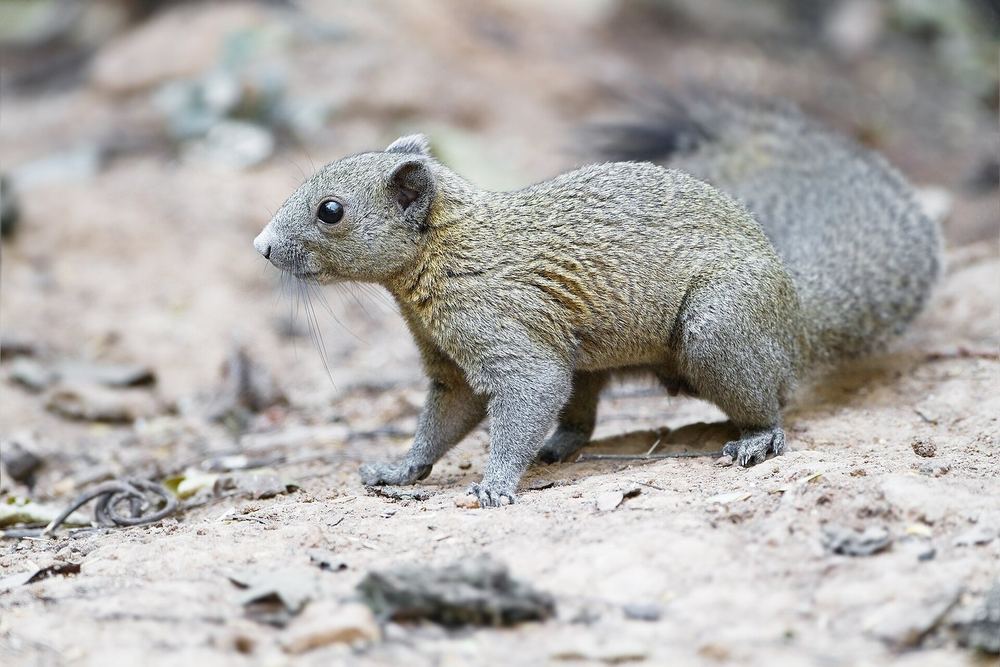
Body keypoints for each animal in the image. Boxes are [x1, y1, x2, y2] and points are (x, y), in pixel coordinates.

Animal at [253, 93, 941, 508]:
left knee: (772, 401)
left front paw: (495, 485)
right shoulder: (452, 369)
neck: (445, 253)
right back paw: (560, 446)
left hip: (716, 331)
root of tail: (796, 318)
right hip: (590, 357)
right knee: (580, 412)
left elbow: (528, 392)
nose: (261, 247)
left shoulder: (501, 328)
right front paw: (398, 470)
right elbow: (442, 425)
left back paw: (756, 439)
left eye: (331, 211)